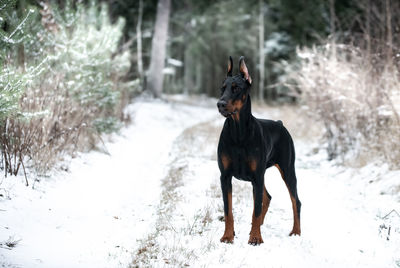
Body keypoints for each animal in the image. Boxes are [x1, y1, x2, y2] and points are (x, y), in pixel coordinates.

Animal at [217, 56, 302, 245]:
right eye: (222, 88)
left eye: (236, 88)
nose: (220, 104)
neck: (238, 132)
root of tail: (279, 123)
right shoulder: (225, 176)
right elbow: (228, 210)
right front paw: (228, 236)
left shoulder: (256, 176)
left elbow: (255, 209)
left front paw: (255, 238)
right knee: (267, 197)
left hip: (287, 170)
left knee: (296, 202)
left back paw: (296, 231)